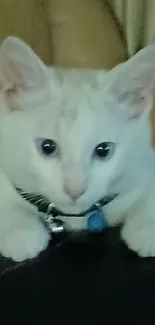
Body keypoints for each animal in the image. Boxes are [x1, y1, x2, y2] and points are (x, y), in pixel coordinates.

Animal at [0, 37, 154, 260]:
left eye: (103, 150)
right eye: (47, 147)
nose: (75, 190)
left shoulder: (145, 160)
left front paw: (147, 228)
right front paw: (20, 231)